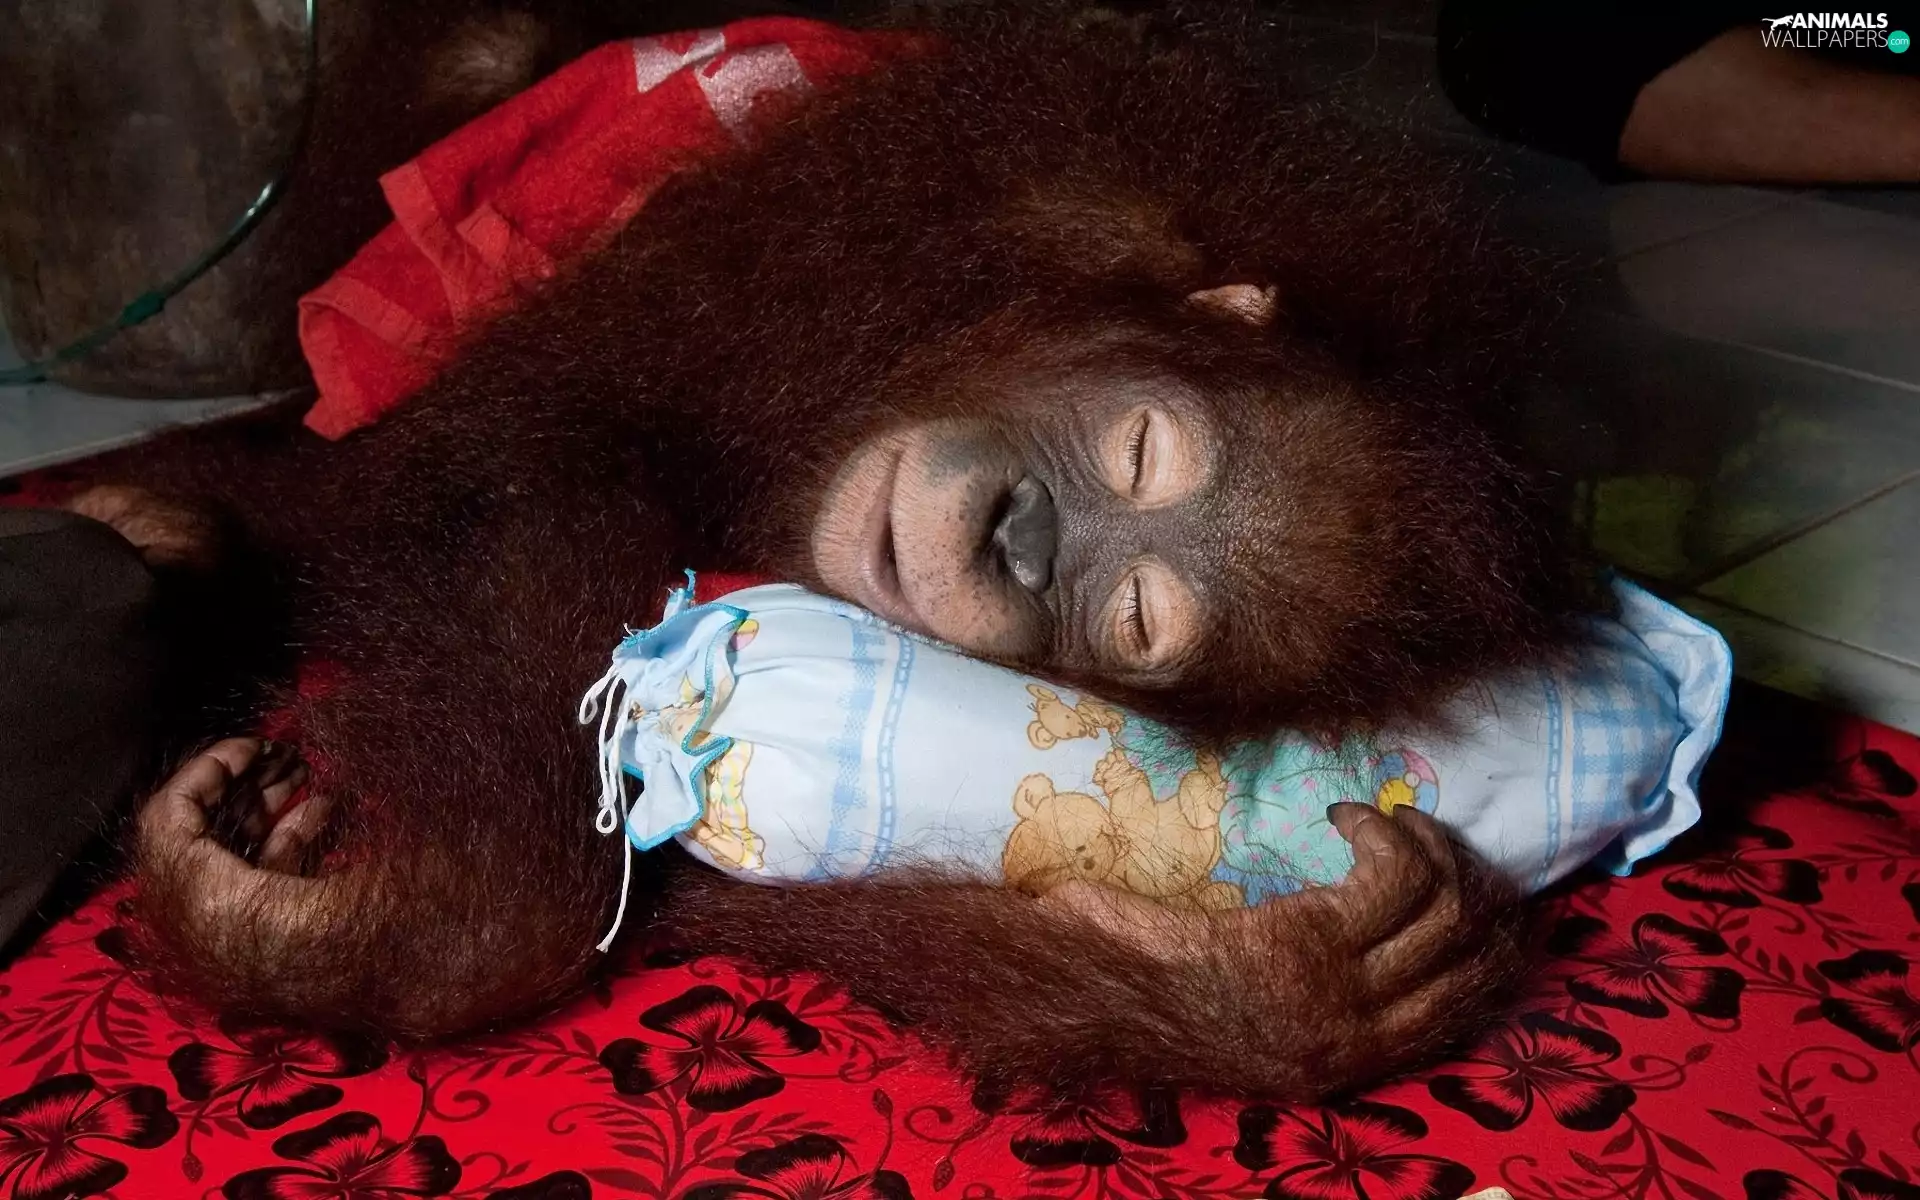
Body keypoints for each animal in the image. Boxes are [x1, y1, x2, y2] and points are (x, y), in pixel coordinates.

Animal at [86, 3, 1590, 1103]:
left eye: (1135, 620)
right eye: (1141, 453)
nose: (1018, 539)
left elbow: (691, 895)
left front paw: (1259, 996)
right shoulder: (926, 207)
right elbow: (544, 444)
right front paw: (389, 930)